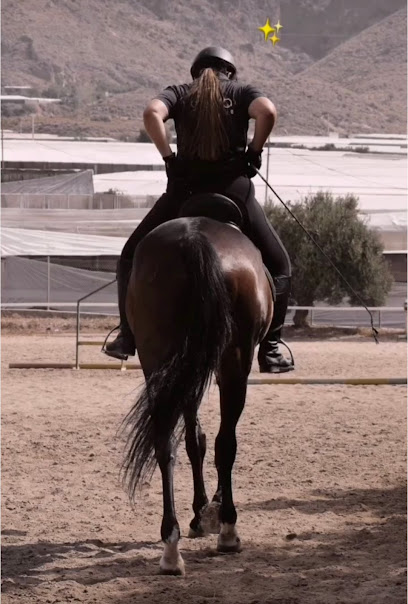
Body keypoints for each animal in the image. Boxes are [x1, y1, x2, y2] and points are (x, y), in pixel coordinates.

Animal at [122, 208, 274, 576]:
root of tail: (194, 239)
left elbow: (194, 441)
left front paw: (199, 512)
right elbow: (211, 441)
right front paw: (211, 511)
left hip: (158, 359)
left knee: (166, 444)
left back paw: (171, 546)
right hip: (233, 361)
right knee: (226, 443)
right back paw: (228, 529)